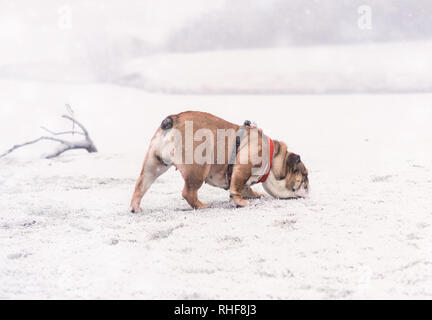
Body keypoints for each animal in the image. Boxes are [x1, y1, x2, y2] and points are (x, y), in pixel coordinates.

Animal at [130, 110, 308, 212]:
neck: (273, 160)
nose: (308, 187)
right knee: (188, 192)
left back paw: (135, 207)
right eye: (305, 176)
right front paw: (240, 202)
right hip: (198, 169)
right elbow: (237, 187)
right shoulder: (243, 167)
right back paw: (202, 206)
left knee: (141, 185)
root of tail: (173, 119)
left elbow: (245, 187)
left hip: (154, 164)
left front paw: (254, 194)